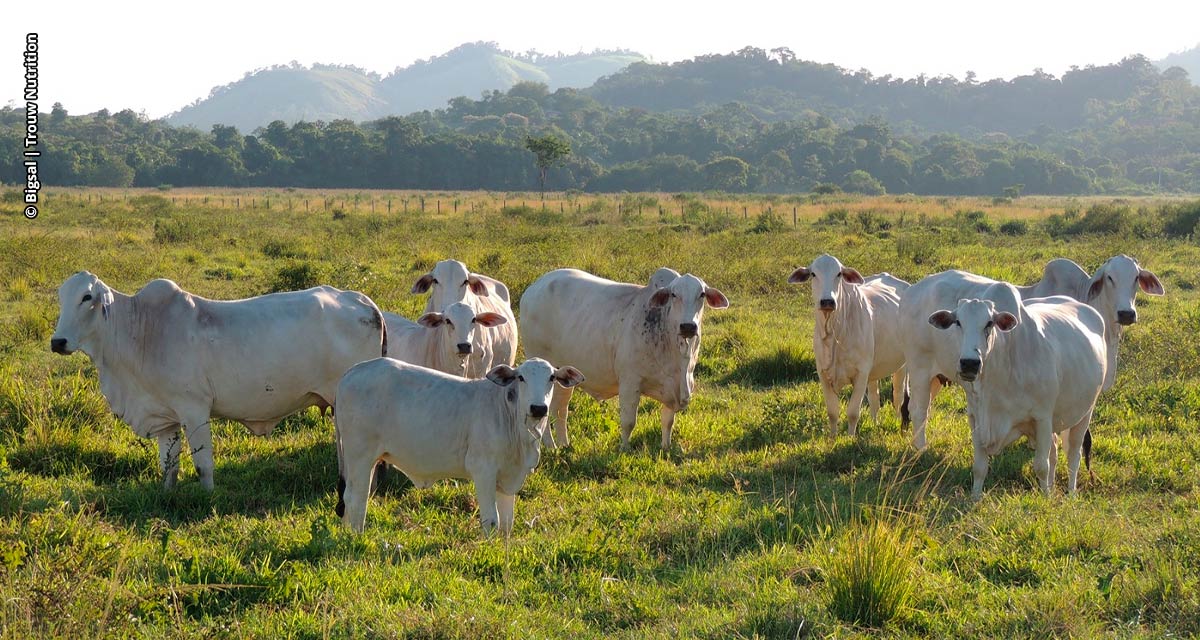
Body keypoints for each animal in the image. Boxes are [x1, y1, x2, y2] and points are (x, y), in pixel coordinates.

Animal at [49, 270, 386, 489]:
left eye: (87, 297)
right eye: (61, 297)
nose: (57, 341)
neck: (142, 329)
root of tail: (361, 300)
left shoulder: (194, 409)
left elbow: (203, 465)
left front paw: (207, 497)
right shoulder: (165, 418)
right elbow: (168, 466)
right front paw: (167, 495)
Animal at [336, 355, 583, 533]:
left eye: (551, 378)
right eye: (521, 378)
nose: (538, 408)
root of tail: (353, 371)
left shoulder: (509, 477)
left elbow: (506, 523)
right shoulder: (483, 470)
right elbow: (491, 520)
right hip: (360, 456)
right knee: (356, 498)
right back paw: (356, 536)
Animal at [518, 267, 724, 449]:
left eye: (702, 294)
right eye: (674, 294)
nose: (688, 326)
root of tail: (534, 288)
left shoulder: (672, 389)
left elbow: (667, 421)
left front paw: (666, 447)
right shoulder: (630, 382)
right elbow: (628, 422)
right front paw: (624, 448)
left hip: (561, 376)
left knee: (560, 410)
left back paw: (563, 445)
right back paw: (551, 445)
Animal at [787, 254, 907, 434]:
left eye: (839, 274)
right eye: (813, 274)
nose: (827, 301)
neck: (835, 335)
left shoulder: (861, 374)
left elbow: (852, 413)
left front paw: (850, 437)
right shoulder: (823, 374)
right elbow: (832, 412)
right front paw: (833, 437)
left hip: (902, 365)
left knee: (898, 396)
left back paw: (898, 422)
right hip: (873, 371)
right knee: (875, 397)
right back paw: (875, 423)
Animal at [926, 290, 1104, 499]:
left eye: (989, 323)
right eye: (958, 322)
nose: (970, 363)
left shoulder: (1043, 417)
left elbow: (1041, 466)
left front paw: (1045, 499)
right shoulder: (975, 418)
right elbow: (979, 467)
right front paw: (975, 498)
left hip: (1085, 413)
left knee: (1073, 455)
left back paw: (1071, 493)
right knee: (1054, 451)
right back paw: (1052, 487)